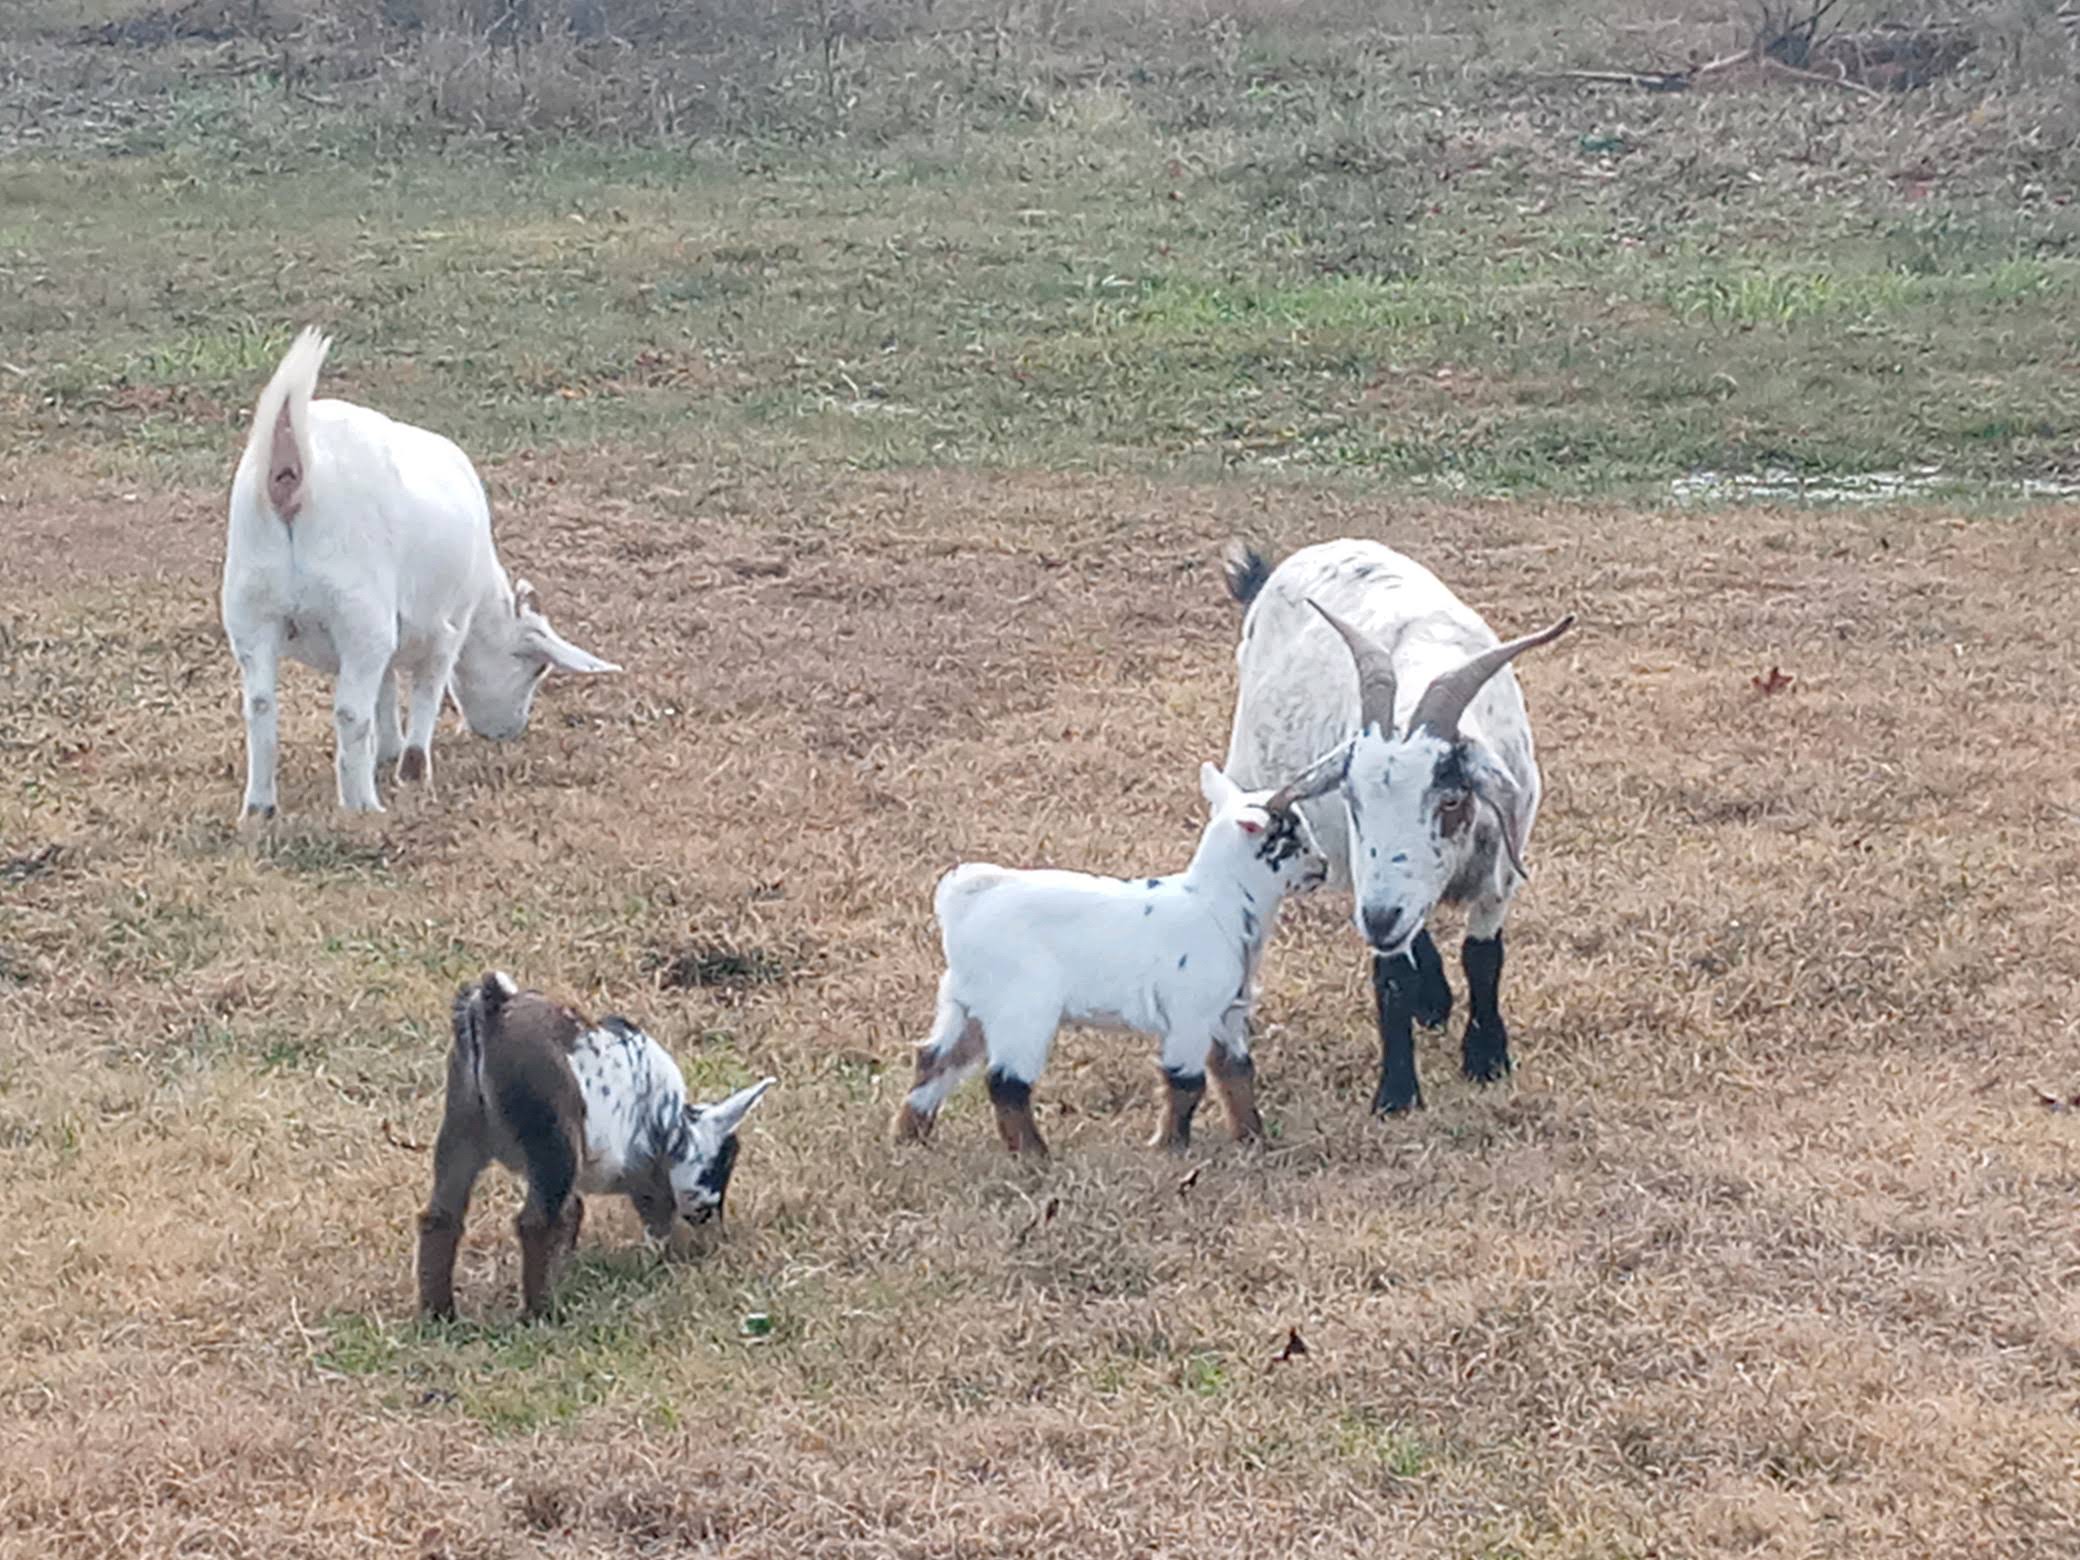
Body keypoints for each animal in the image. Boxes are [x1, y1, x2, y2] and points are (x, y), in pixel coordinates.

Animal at [222, 328, 620, 818]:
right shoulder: (446, 629)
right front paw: (412, 769)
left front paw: (388, 750)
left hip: (250, 606)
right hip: (356, 610)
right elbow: (426, 691)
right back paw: (362, 806)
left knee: (260, 706)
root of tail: (291, 475)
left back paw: (259, 808)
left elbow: (386, 689)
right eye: (537, 669)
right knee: (348, 713)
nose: (508, 732)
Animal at [416, 971, 776, 1320]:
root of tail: (495, 1006)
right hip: (553, 1141)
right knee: (535, 1223)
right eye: (718, 1170)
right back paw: (542, 1314)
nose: (715, 1234)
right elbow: (654, 1221)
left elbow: (573, 1213)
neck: (677, 1128)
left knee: (440, 1217)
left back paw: (440, 1315)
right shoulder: (647, 1175)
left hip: (463, 1129)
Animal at [892, 762, 1328, 1156]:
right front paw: (1170, 1149)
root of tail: (964, 901)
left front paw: (1254, 1139)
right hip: (1022, 1008)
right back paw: (1035, 1157)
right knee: (1006, 1083)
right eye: (1291, 839)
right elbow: (1186, 1082)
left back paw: (910, 1138)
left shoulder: (1227, 1016)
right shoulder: (1190, 1014)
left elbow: (1236, 1073)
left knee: (935, 1060)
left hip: (965, 1003)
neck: (1215, 904)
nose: (1322, 867)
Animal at [1219, 538, 1572, 1114]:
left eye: (1451, 798)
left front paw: (1486, 1057)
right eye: (1353, 799)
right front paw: (1398, 1092)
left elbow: (1484, 957)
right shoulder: (1372, 880)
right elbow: (1391, 976)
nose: (1380, 918)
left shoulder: (1500, 873)